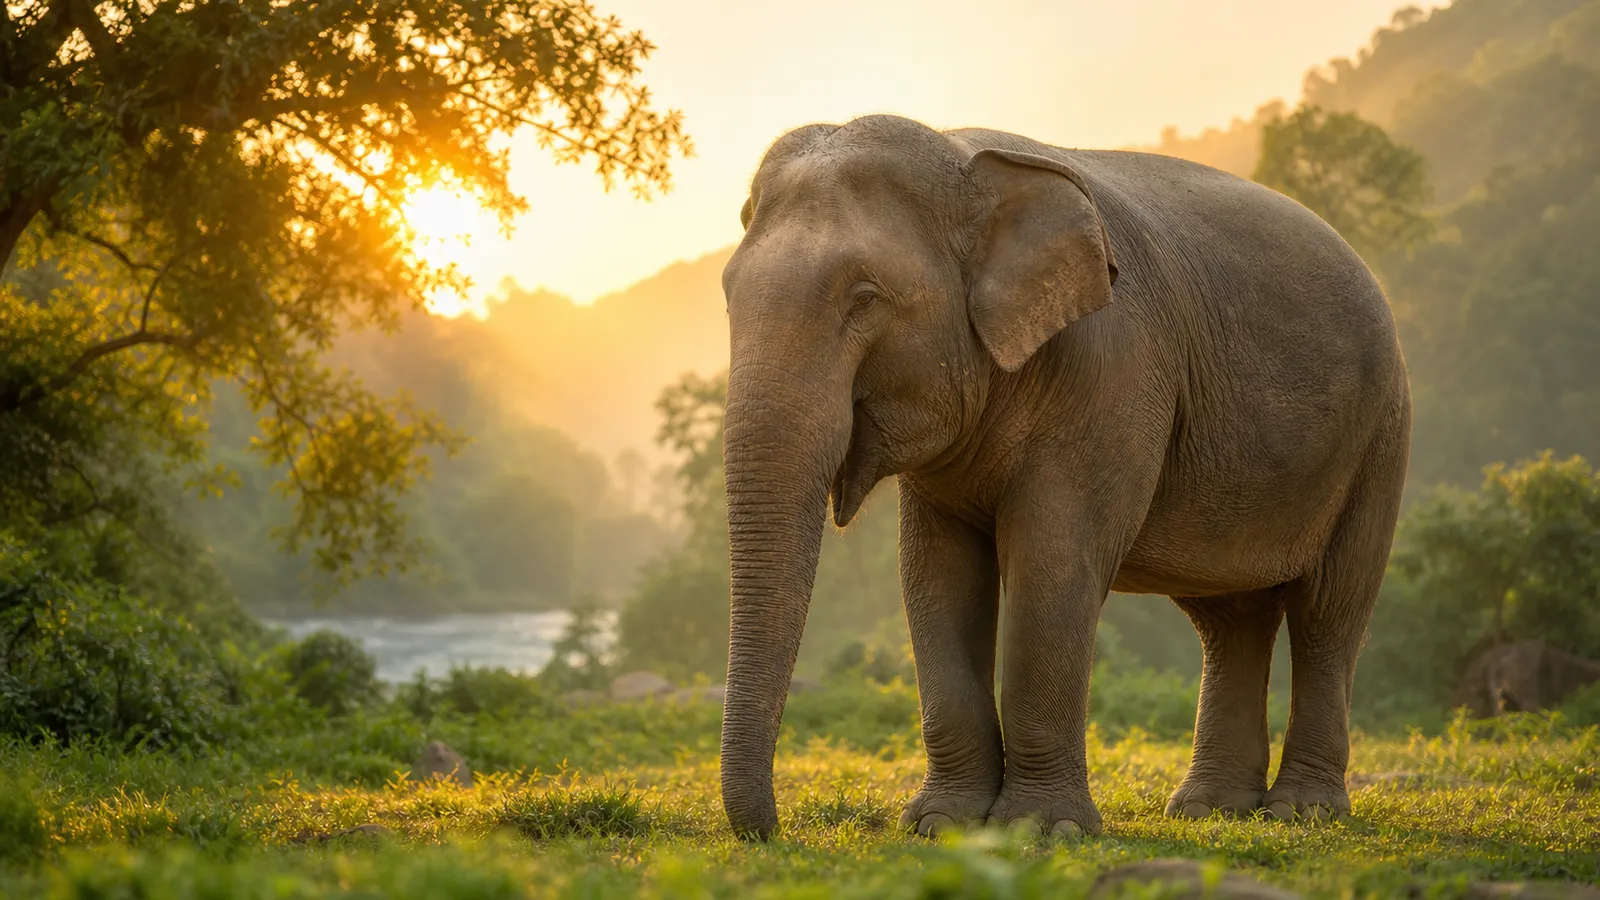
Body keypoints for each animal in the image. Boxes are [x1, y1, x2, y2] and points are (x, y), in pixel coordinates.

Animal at [717, 114, 1411, 841]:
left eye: (864, 298)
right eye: (728, 294)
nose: (773, 831)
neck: (964, 159)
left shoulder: (1113, 372)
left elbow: (1052, 560)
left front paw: (1041, 830)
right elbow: (936, 575)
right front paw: (943, 823)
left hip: (1379, 438)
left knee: (1329, 611)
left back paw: (1301, 812)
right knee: (1232, 619)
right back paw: (1210, 809)